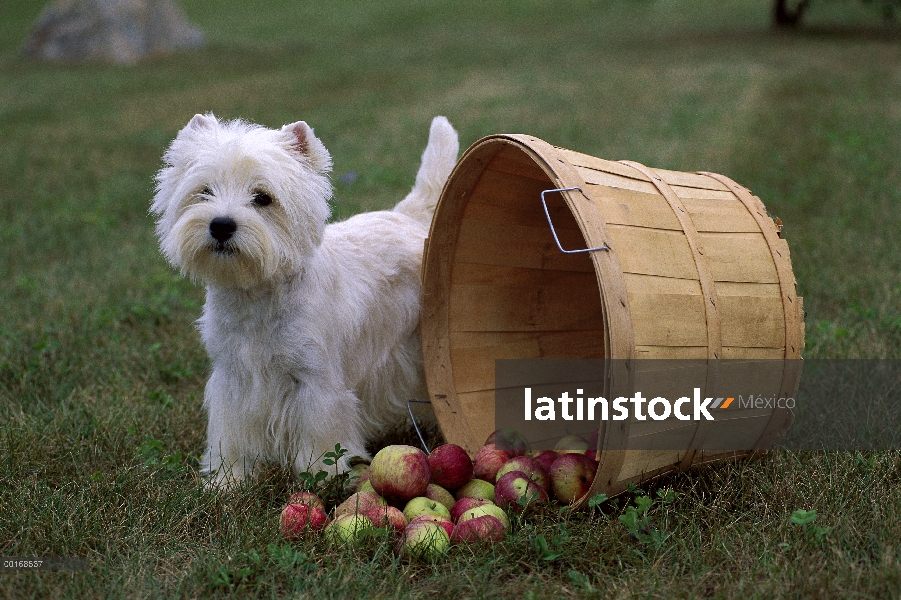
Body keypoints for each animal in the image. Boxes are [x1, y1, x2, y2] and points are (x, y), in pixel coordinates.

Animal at [151, 115, 458, 486]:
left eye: (263, 198)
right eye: (205, 191)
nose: (221, 225)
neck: (255, 294)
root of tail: (409, 216)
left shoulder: (316, 383)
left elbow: (321, 436)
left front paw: (323, 476)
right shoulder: (232, 380)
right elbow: (232, 435)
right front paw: (227, 481)